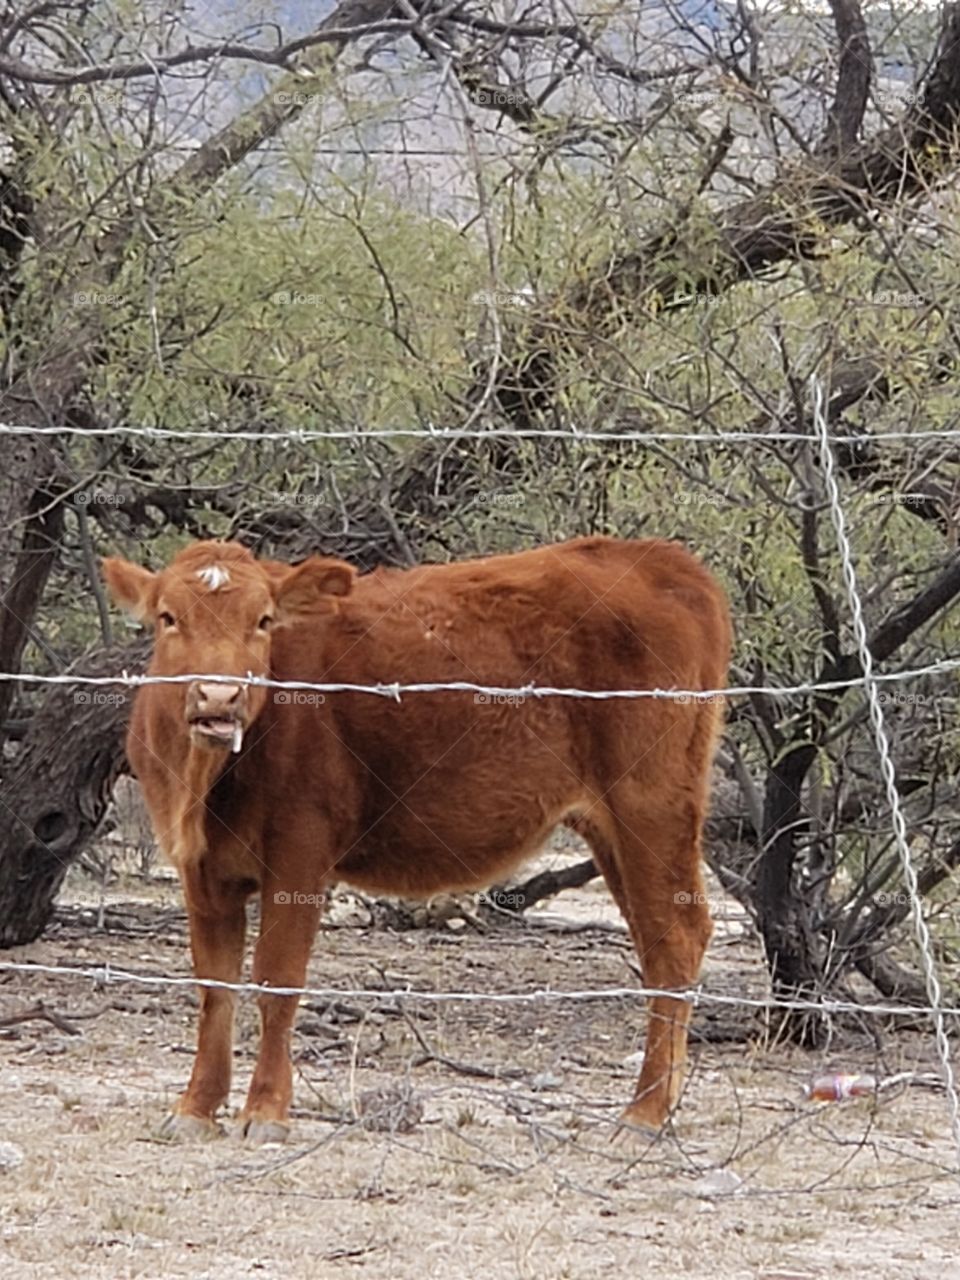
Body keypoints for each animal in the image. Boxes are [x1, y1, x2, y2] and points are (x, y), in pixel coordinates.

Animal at [102, 535, 731, 1144]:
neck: (204, 788)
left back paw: (644, 1114)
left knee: (676, 939)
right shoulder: (201, 870)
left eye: (263, 620)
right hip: (612, 829)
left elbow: (277, 981)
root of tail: (657, 557)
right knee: (656, 942)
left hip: (651, 805)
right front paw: (196, 1107)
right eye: (168, 618)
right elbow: (215, 988)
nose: (218, 698)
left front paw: (266, 1111)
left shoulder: (300, 852)